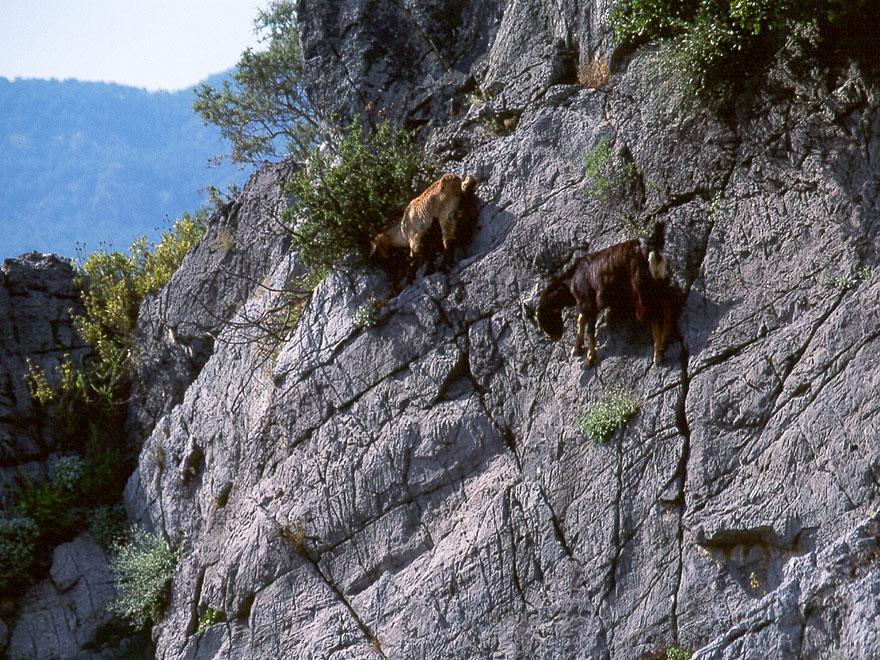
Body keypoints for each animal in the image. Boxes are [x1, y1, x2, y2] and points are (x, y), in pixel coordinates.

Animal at [528, 222, 680, 366]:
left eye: (545, 317)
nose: (555, 337)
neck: (572, 280)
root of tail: (651, 247)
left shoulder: (590, 303)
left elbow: (589, 328)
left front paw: (589, 359)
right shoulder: (585, 304)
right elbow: (581, 320)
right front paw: (576, 349)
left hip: (642, 288)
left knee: (654, 314)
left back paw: (658, 355)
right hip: (659, 281)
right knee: (668, 304)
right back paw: (665, 339)